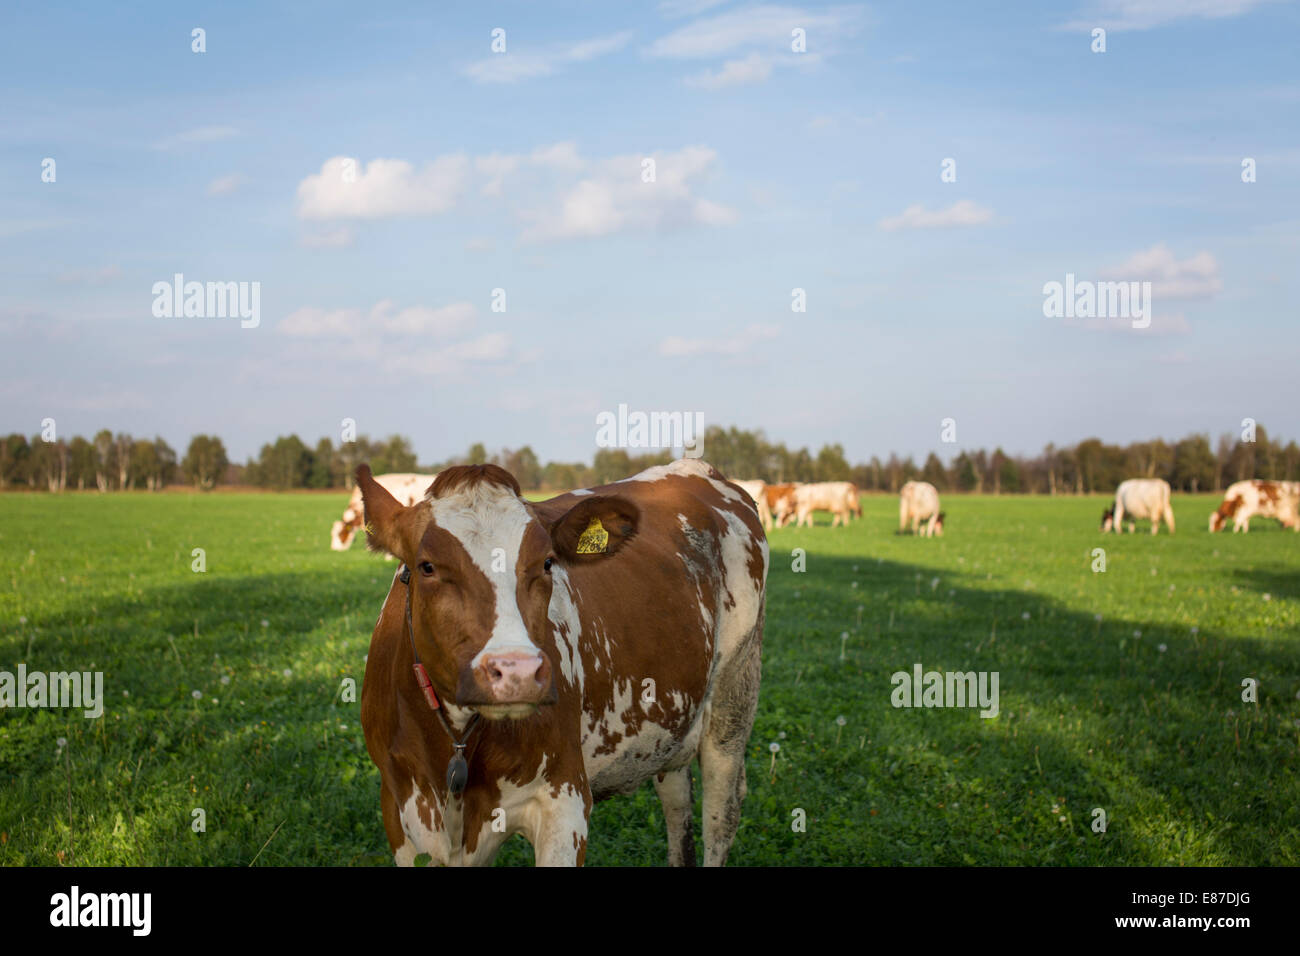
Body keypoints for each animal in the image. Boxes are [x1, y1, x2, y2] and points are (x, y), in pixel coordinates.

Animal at [356, 455, 764, 868]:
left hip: (734, 699)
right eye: (427, 566)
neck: (455, 746)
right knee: (677, 802)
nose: (517, 673)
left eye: (548, 563)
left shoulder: (564, 801)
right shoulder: (398, 812)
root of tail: (696, 467)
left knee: (720, 815)